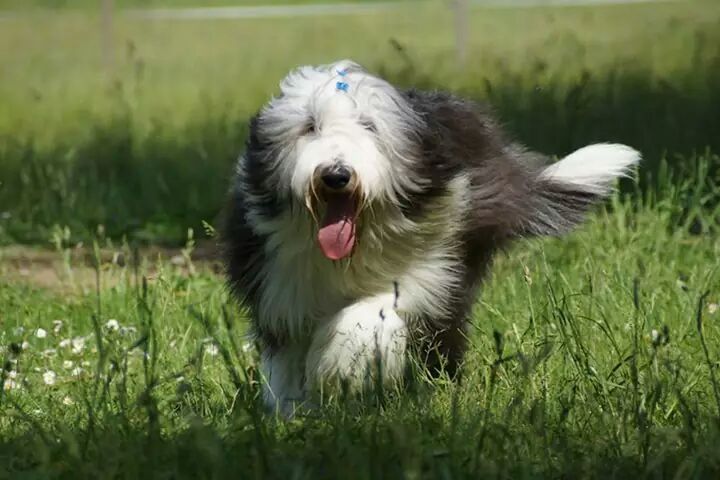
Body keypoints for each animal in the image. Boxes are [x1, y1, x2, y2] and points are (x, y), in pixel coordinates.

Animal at [222, 59, 640, 412]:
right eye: (310, 126)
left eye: (370, 126)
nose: (336, 174)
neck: (352, 252)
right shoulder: (278, 279)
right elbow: (286, 343)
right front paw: (291, 408)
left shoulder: (433, 264)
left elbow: (371, 314)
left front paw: (339, 368)